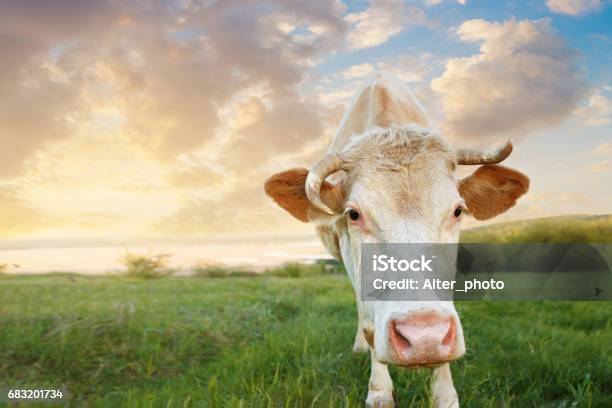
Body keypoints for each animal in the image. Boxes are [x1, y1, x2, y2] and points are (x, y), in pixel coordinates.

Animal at [266, 74, 528, 408]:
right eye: (353, 214)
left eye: (458, 210)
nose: (423, 337)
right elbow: (368, 326)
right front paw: (379, 392)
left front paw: (445, 395)